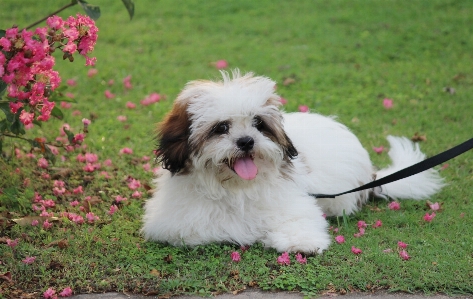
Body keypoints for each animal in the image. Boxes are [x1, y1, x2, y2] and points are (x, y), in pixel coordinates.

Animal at [142, 71, 444, 254]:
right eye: (221, 128)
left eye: (258, 124)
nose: (246, 141)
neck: (236, 188)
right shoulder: (178, 224)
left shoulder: (296, 203)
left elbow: (299, 221)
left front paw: (301, 243)